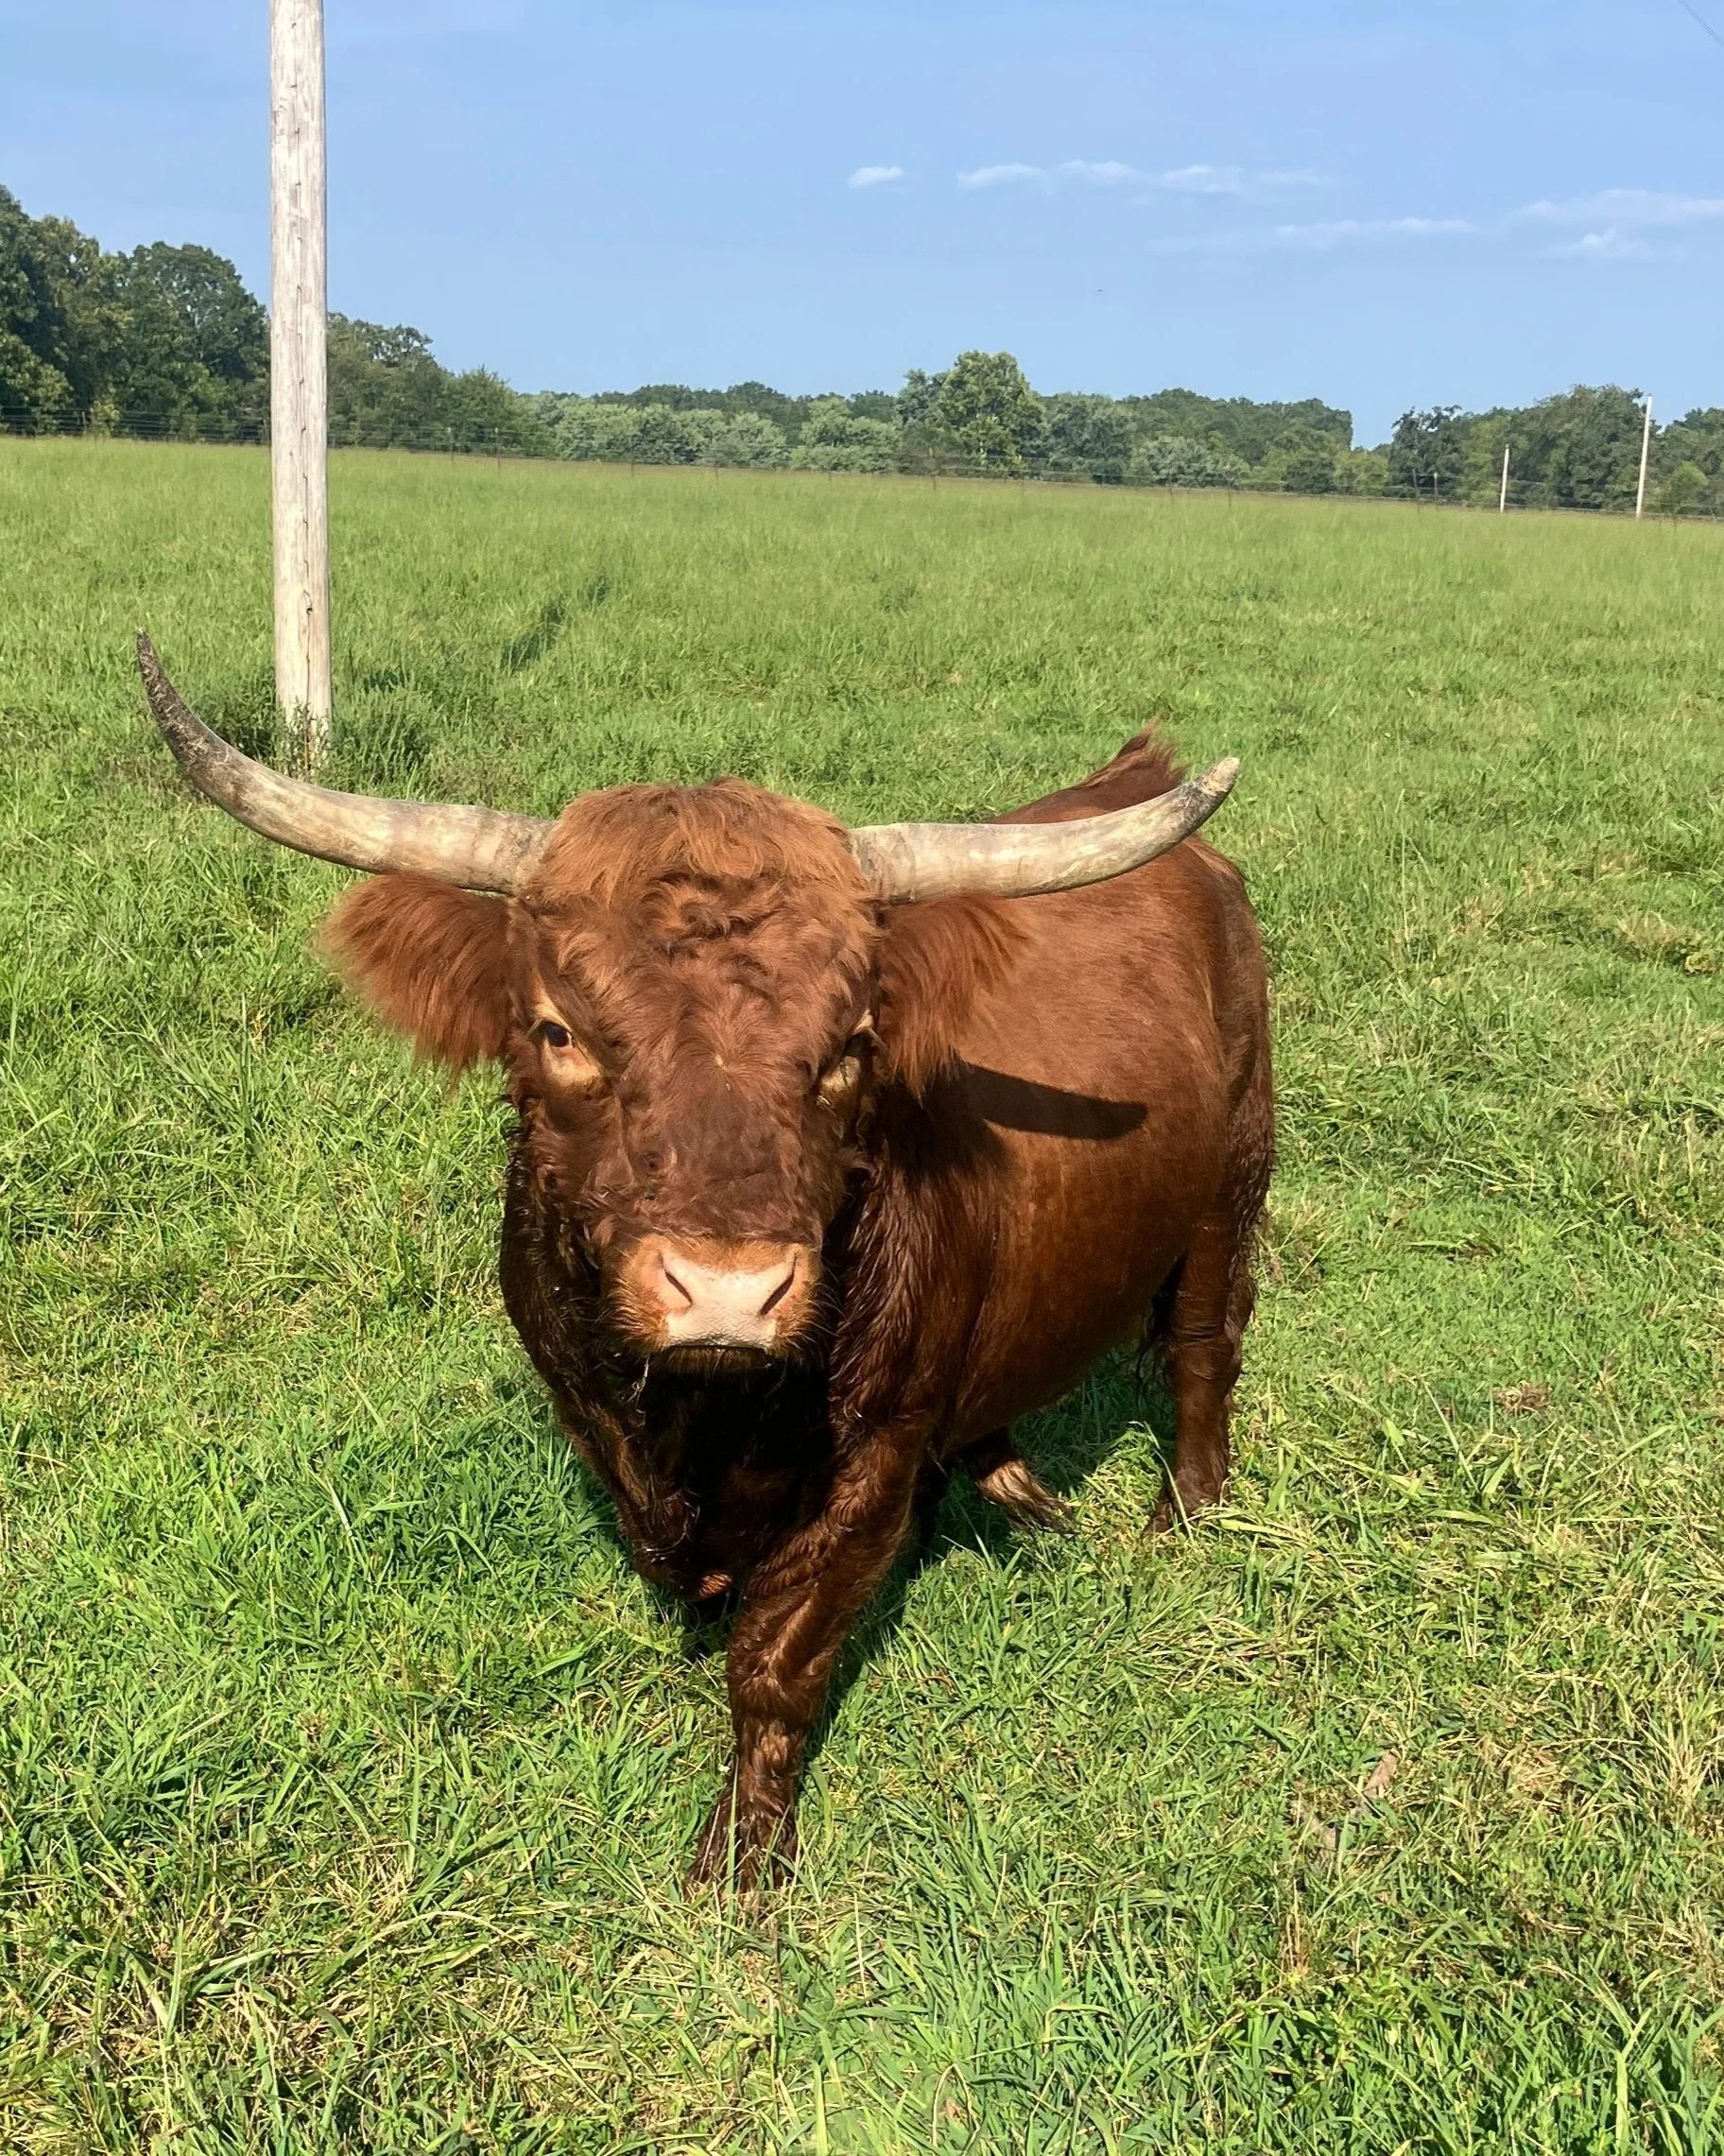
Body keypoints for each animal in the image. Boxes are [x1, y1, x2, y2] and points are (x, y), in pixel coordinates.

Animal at [137, 632, 1273, 1892]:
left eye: (853, 1045)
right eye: (558, 1029)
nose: (729, 1290)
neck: (703, 1418)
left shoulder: (869, 1458)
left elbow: (777, 1663)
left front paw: (740, 1860)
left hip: (1232, 1183)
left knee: (1203, 1348)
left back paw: (1187, 1513)